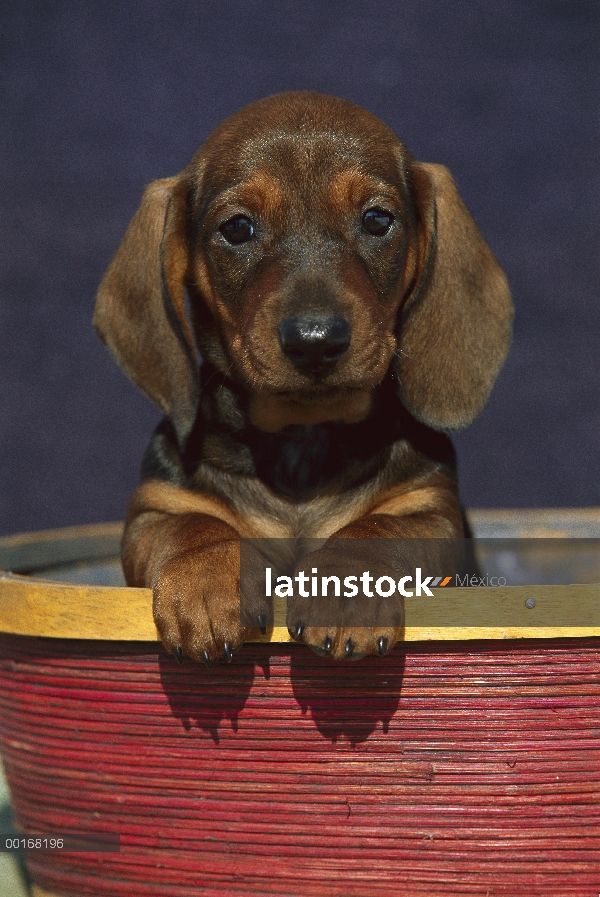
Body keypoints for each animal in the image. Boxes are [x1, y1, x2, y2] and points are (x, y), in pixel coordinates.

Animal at [94, 91, 510, 664]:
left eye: (377, 220)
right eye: (237, 228)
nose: (315, 340)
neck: (302, 440)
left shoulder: (430, 511)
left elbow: (376, 527)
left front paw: (347, 586)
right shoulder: (154, 511)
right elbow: (195, 525)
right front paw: (205, 577)